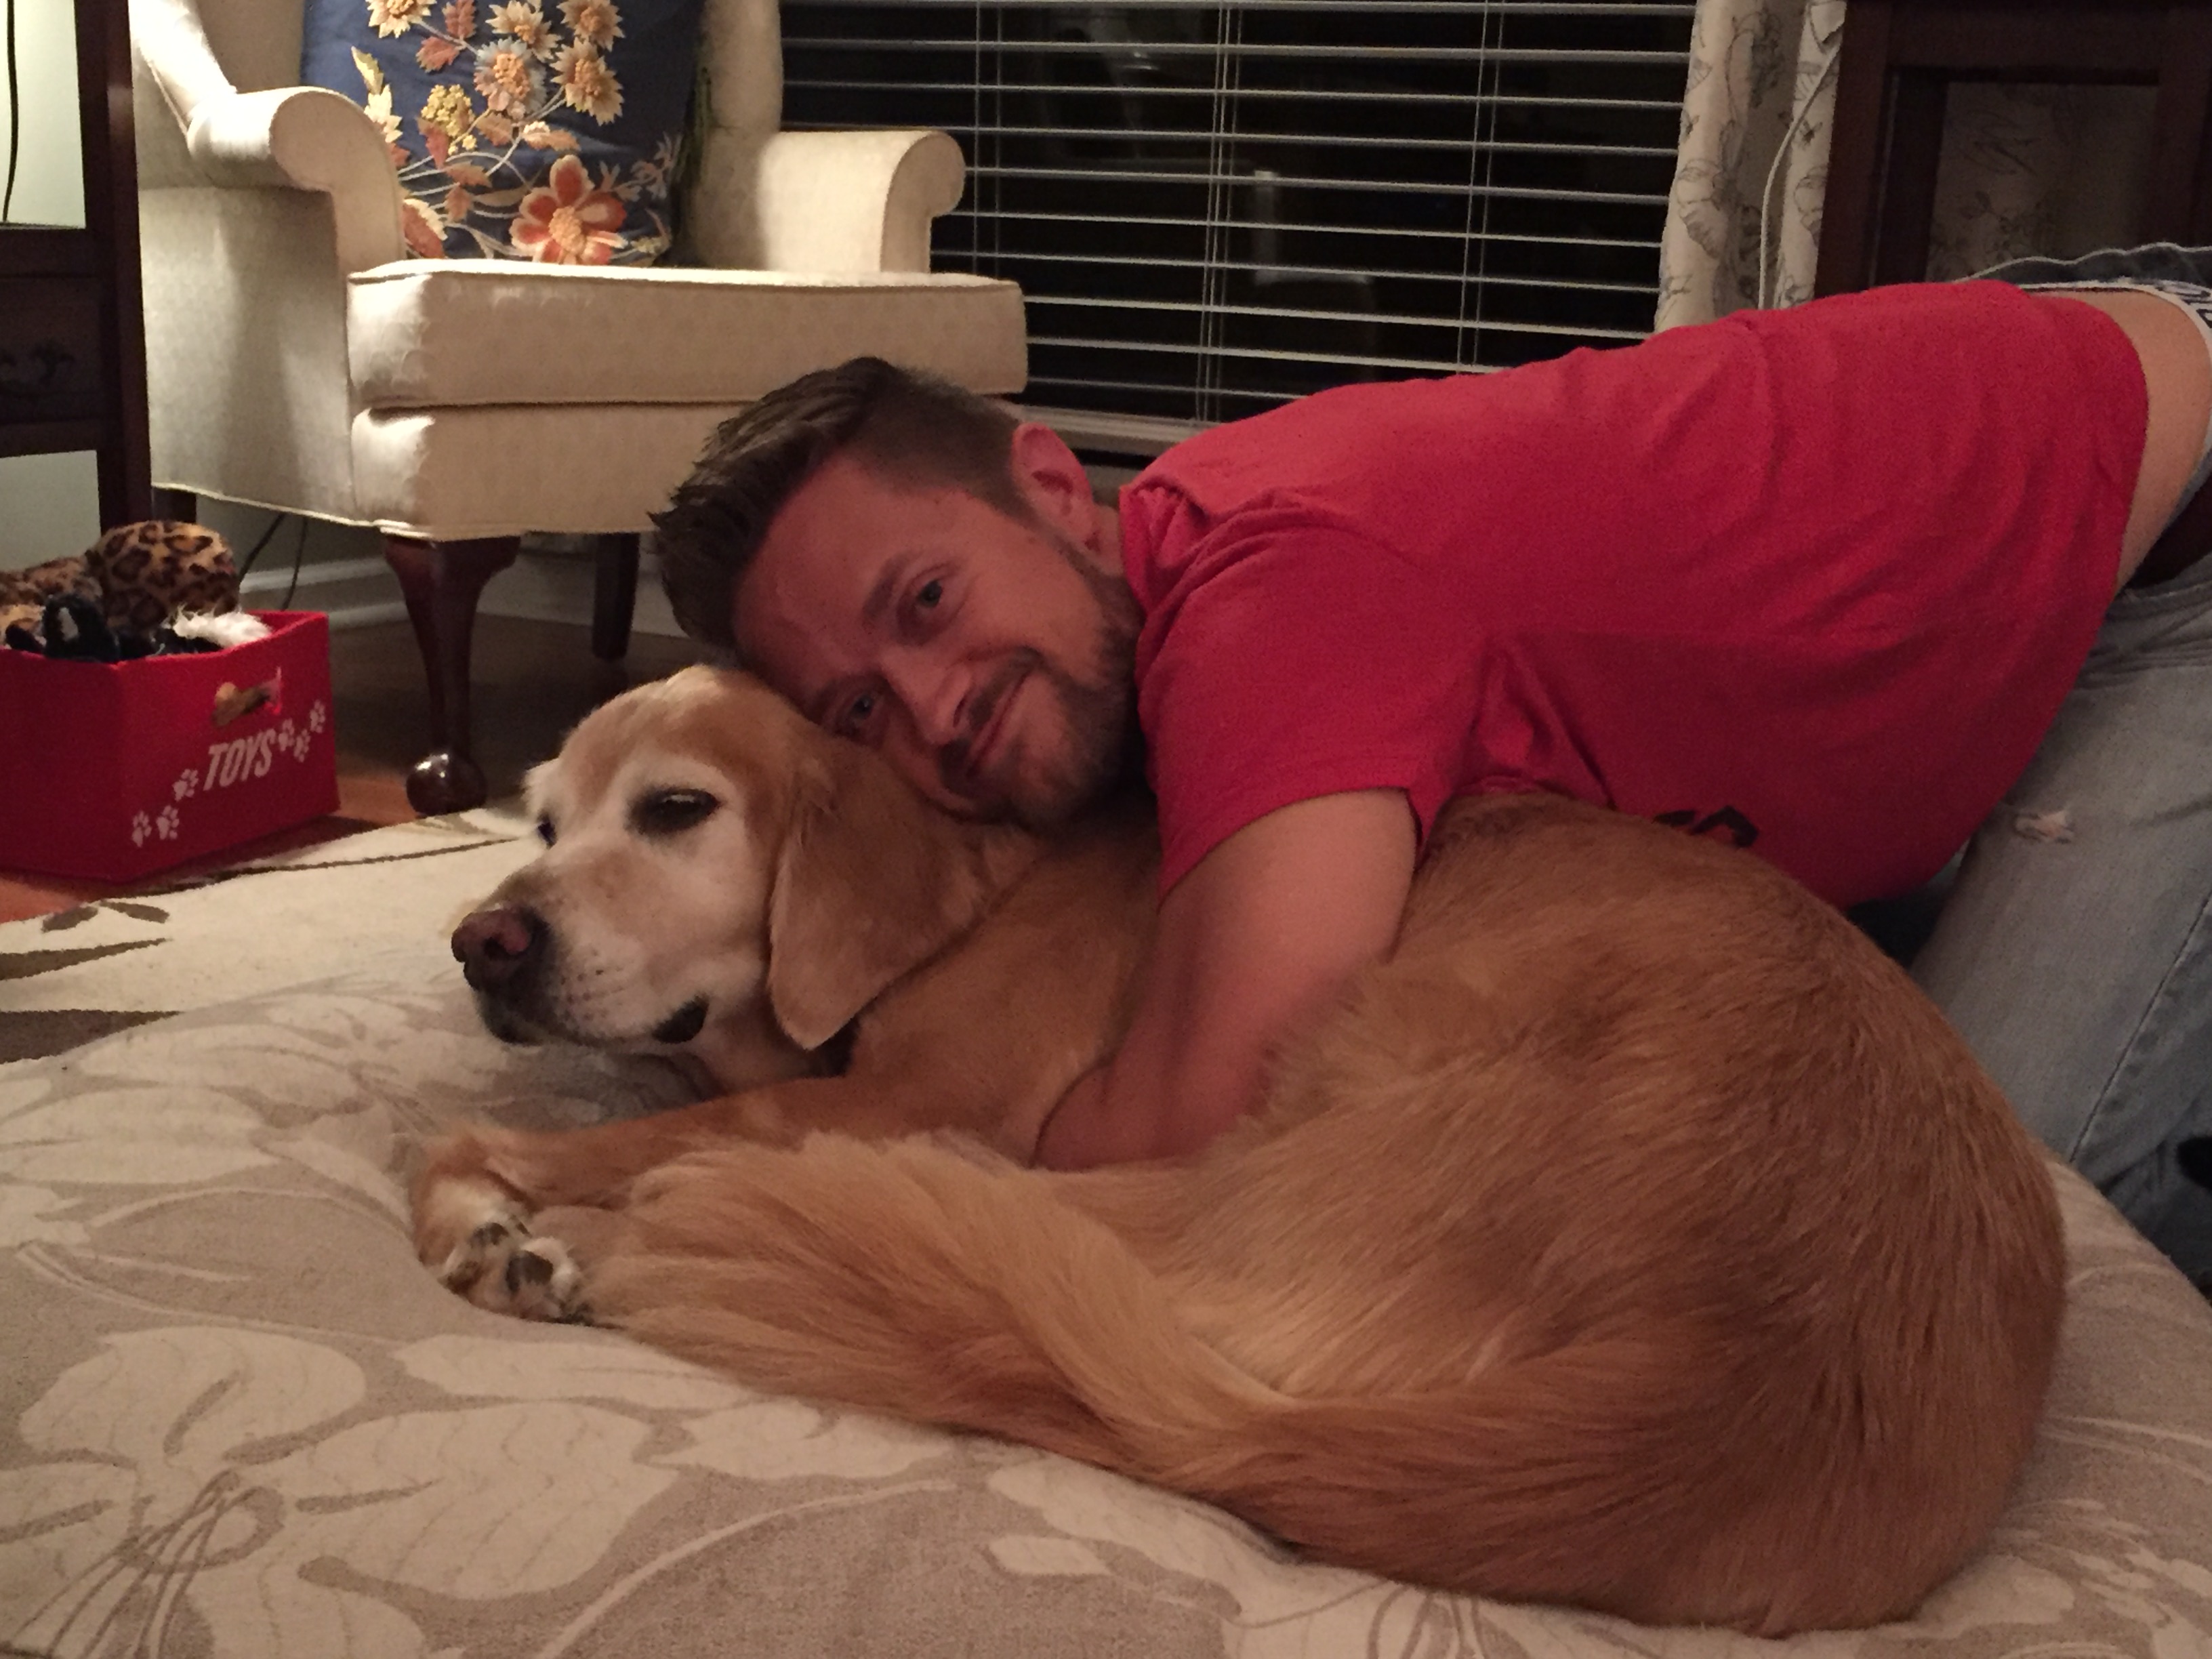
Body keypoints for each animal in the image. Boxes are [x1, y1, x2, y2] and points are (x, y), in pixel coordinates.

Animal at [414, 664, 2065, 1635]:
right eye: (543, 821)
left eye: (676, 808)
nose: (482, 942)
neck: (981, 881)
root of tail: (1729, 1370)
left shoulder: (914, 1096)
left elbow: (520, 1132)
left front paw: (480, 1198)